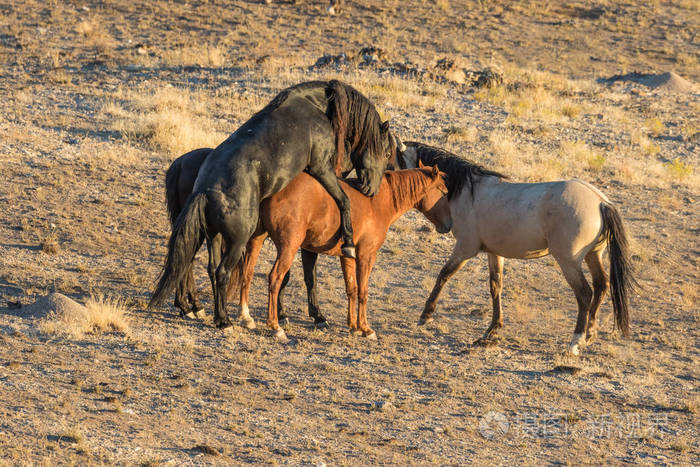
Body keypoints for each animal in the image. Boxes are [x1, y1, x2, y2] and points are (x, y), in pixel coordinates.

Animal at [164, 147, 327, 326]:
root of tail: (180, 163)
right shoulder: (295, 242)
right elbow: (304, 276)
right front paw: (309, 315)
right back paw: (193, 307)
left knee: (185, 261)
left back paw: (188, 306)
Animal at [235, 164, 451, 341]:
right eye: (443, 191)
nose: (449, 225)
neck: (379, 201)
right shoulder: (366, 256)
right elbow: (363, 291)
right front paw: (365, 328)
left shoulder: (347, 256)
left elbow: (352, 289)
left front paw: (353, 326)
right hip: (288, 248)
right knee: (275, 279)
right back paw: (275, 326)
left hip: (257, 240)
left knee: (247, 274)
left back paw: (245, 316)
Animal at [397, 141, 635, 355]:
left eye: (394, 160)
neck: (467, 192)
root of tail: (600, 201)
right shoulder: (493, 253)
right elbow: (496, 286)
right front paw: (492, 330)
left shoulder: (466, 248)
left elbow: (444, 275)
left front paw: (426, 315)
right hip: (593, 255)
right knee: (602, 285)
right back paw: (590, 334)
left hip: (569, 262)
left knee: (585, 294)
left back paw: (575, 342)